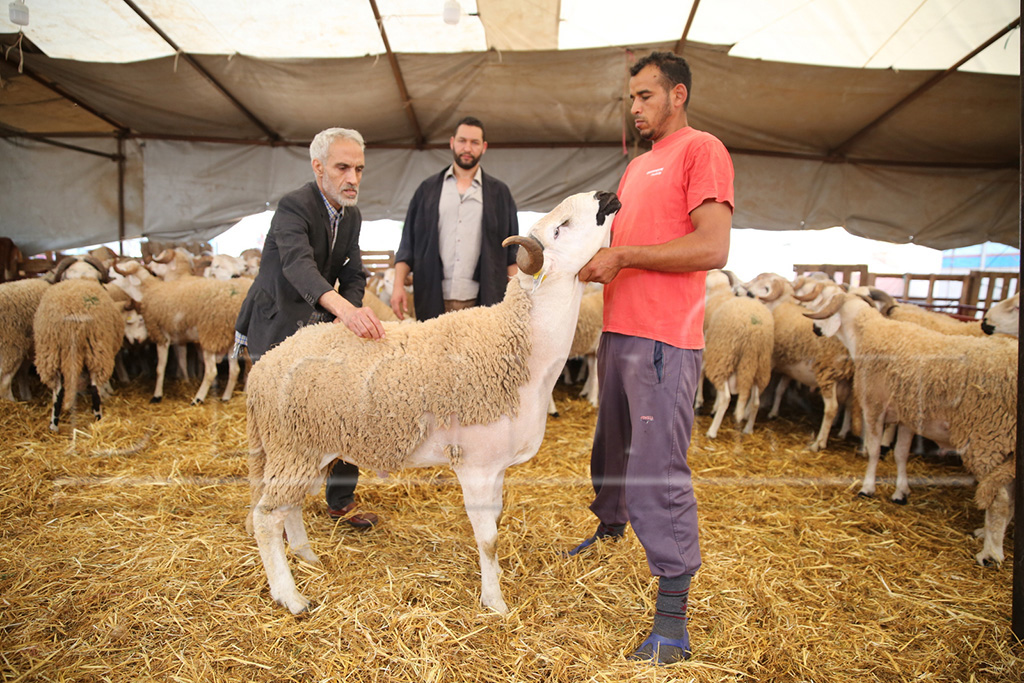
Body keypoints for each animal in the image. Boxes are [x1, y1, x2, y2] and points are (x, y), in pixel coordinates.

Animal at [243, 191, 618, 614]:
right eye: (561, 227)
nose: (608, 196)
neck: (516, 343)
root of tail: (263, 367)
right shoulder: (475, 466)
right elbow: (489, 539)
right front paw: (495, 602)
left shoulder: (496, 465)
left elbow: (496, 523)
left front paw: (495, 579)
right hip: (291, 446)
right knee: (266, 517)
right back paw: (291, 596)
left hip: (306, 449)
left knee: (289, 508)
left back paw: (308, 557)